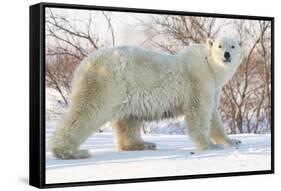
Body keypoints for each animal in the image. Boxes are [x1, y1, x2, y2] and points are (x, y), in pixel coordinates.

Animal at [49, 36, 243, 159]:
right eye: (220, 46)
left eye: (233, 46)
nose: (226, 55)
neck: (209, 65)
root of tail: (83, 65)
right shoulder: (199, 80)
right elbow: (199, 112)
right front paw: (209, 145)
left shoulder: (214, 87)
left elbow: (213, 115)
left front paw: (233, 141)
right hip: (106, 83)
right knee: (86, 112)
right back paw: (70, 152)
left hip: (126, 90)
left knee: (127, 119)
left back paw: (144, 144)